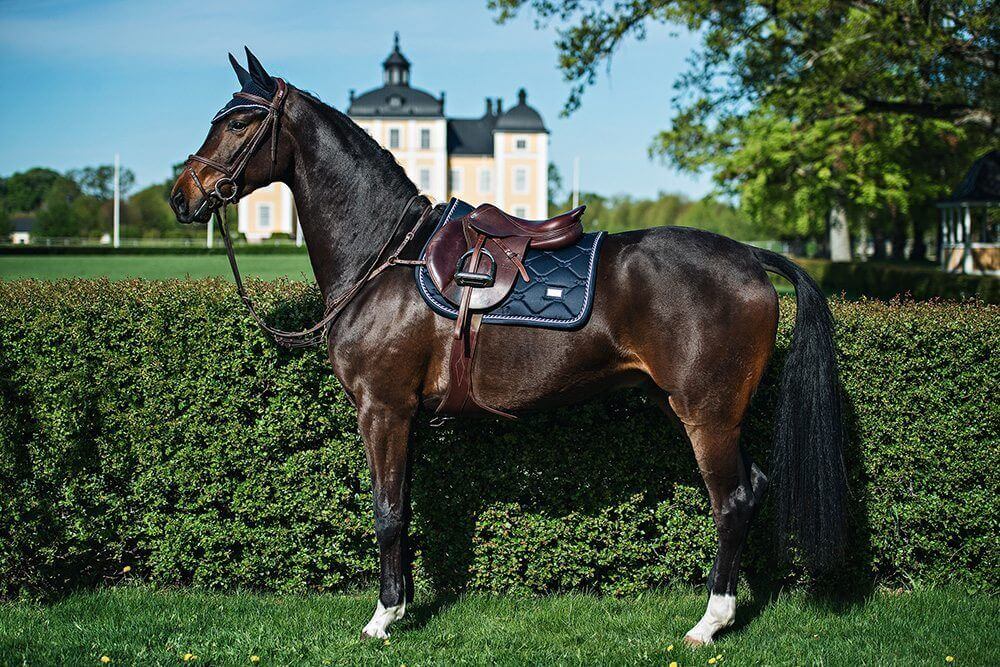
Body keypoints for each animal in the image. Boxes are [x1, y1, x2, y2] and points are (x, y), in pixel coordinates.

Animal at [170, 49, 847, 645]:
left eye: (239, 122)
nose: (182, 194)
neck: (386, 257)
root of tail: (749, 257)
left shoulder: (382, 408)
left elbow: (387, 512)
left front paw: (383, 618)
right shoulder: (406, 416)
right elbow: (404, 507)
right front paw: (404, 604)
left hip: (708, 415)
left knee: (731, 500)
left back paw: (710, 622)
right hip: (698, 409)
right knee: (752, 488)